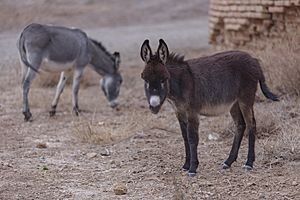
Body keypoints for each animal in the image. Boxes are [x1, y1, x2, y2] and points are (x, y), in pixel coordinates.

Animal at [139, 39, 278, 177]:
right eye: (145, 80)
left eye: (164, 79)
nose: (154, 105)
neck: (181, 83)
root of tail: (254, 60)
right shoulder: (179, 112)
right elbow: (184, 137)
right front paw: (186, 165)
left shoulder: (192, 111)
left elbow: (192, 138)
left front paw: (192, 168)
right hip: (234, 103)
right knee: (240, 125)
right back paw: (228, 161)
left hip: (246, 99)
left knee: (251, 124)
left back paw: (249, 163)